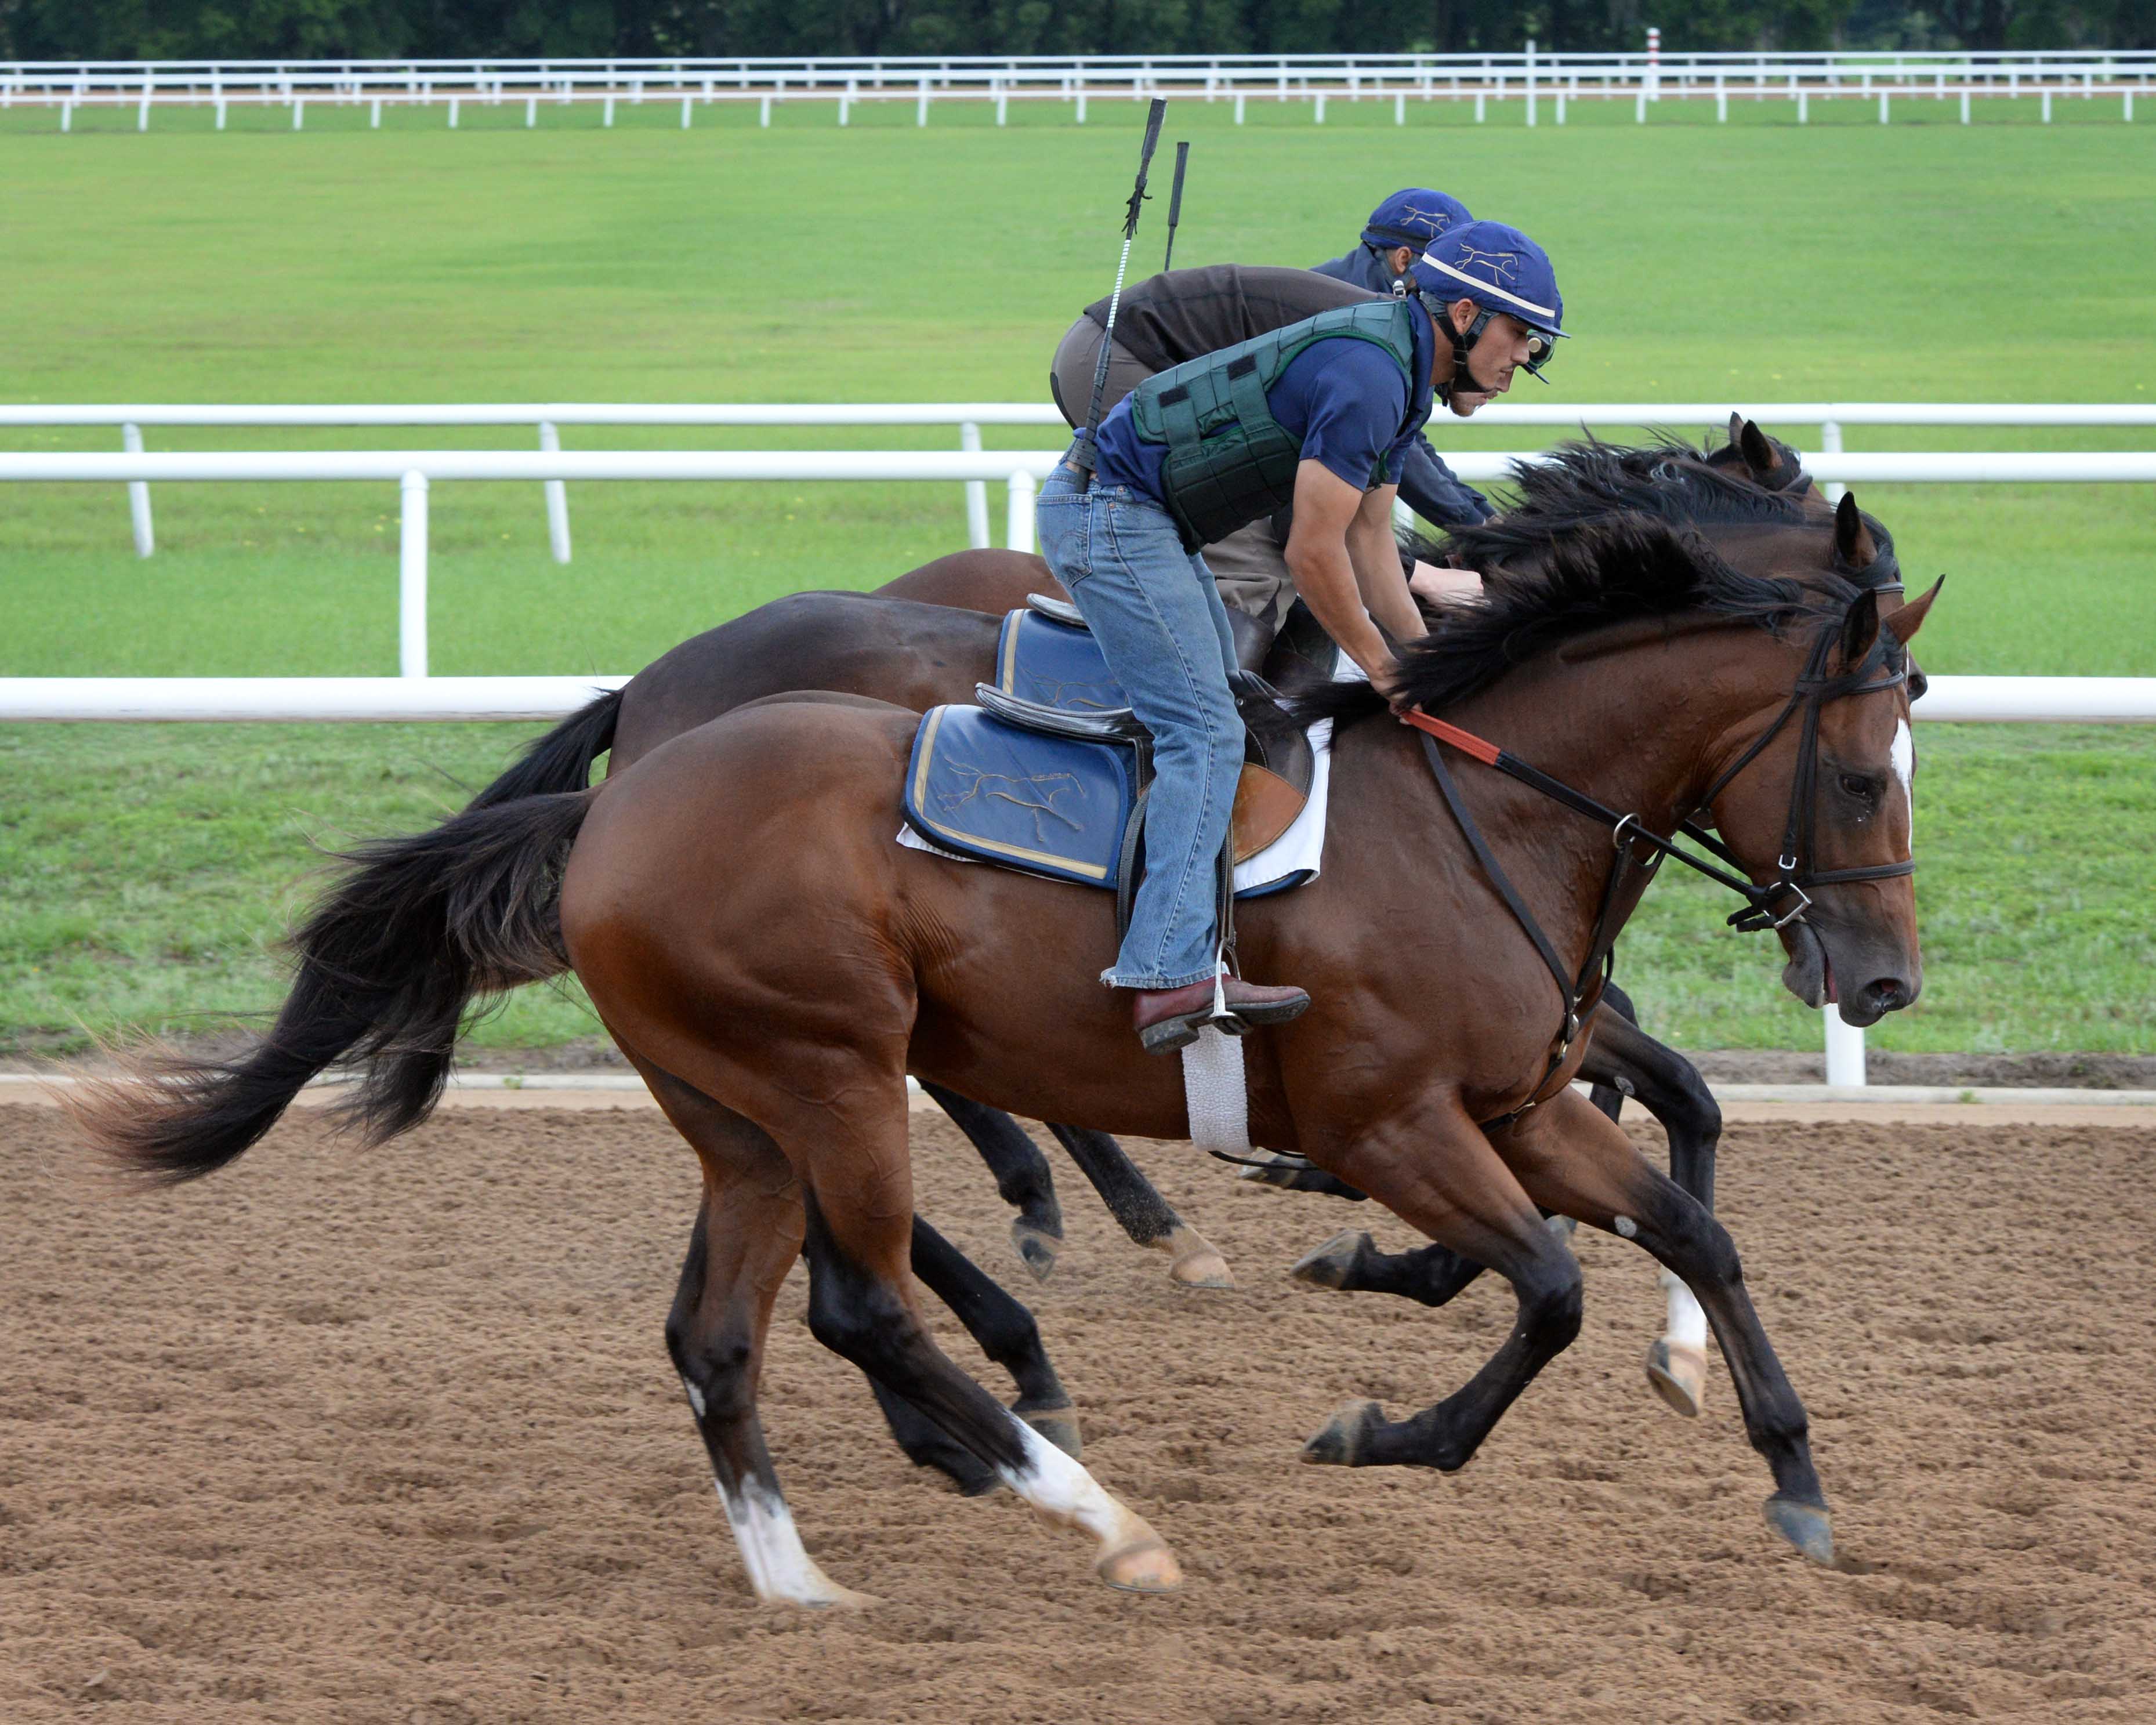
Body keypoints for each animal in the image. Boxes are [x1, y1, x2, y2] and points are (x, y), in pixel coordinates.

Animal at [71, 457, 1940, 1604]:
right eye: (1862, 772)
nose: (1881, 982)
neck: (1475, 815)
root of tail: (621, 786)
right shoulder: (1394, 1119)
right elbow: (1548, 1280)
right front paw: (1383, 1416)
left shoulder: (1521, 1097)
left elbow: (1685, 1210)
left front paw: (1786, 1465)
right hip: (826, 1064)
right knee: (865, 1295)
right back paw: (1080, 1483)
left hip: (739, 1106)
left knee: (726, 1327)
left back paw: (816, 1559)